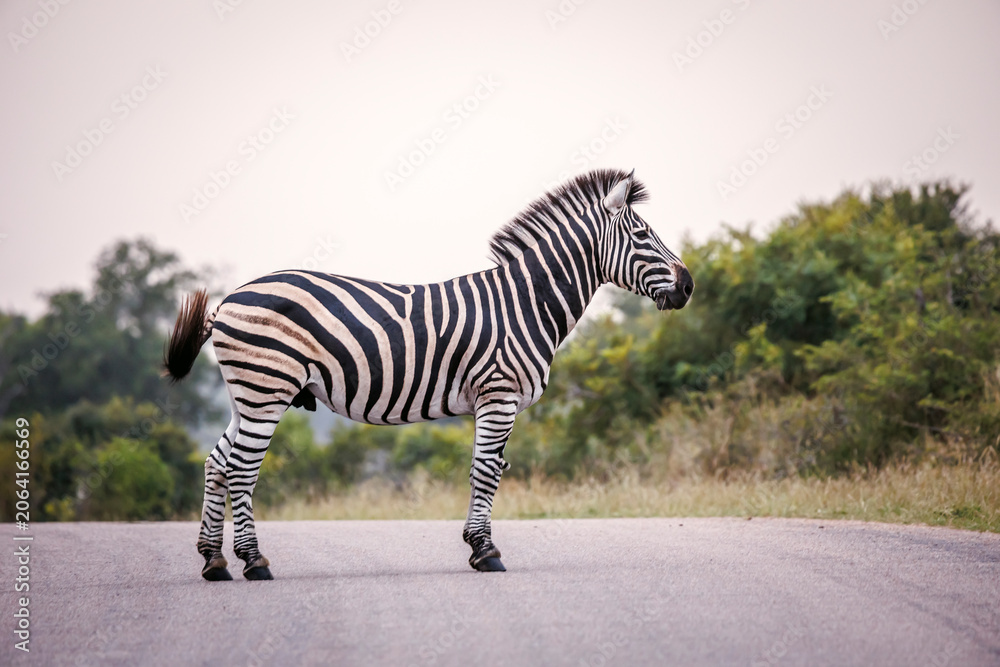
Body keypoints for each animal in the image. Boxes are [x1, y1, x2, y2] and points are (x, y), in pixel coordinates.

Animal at [164, 168, 693, 580]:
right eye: (642, 235)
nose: (688, 286)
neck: (526, 302)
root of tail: (230, 299)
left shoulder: (493, 400)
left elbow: (490, 469)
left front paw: (478, 546)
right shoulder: (498, 394)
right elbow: (486, 471)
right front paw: (485, 552)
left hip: (248, 395)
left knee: (216, 464)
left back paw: (214, 561)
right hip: (267, 391)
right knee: (240, 469)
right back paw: (253, 561)